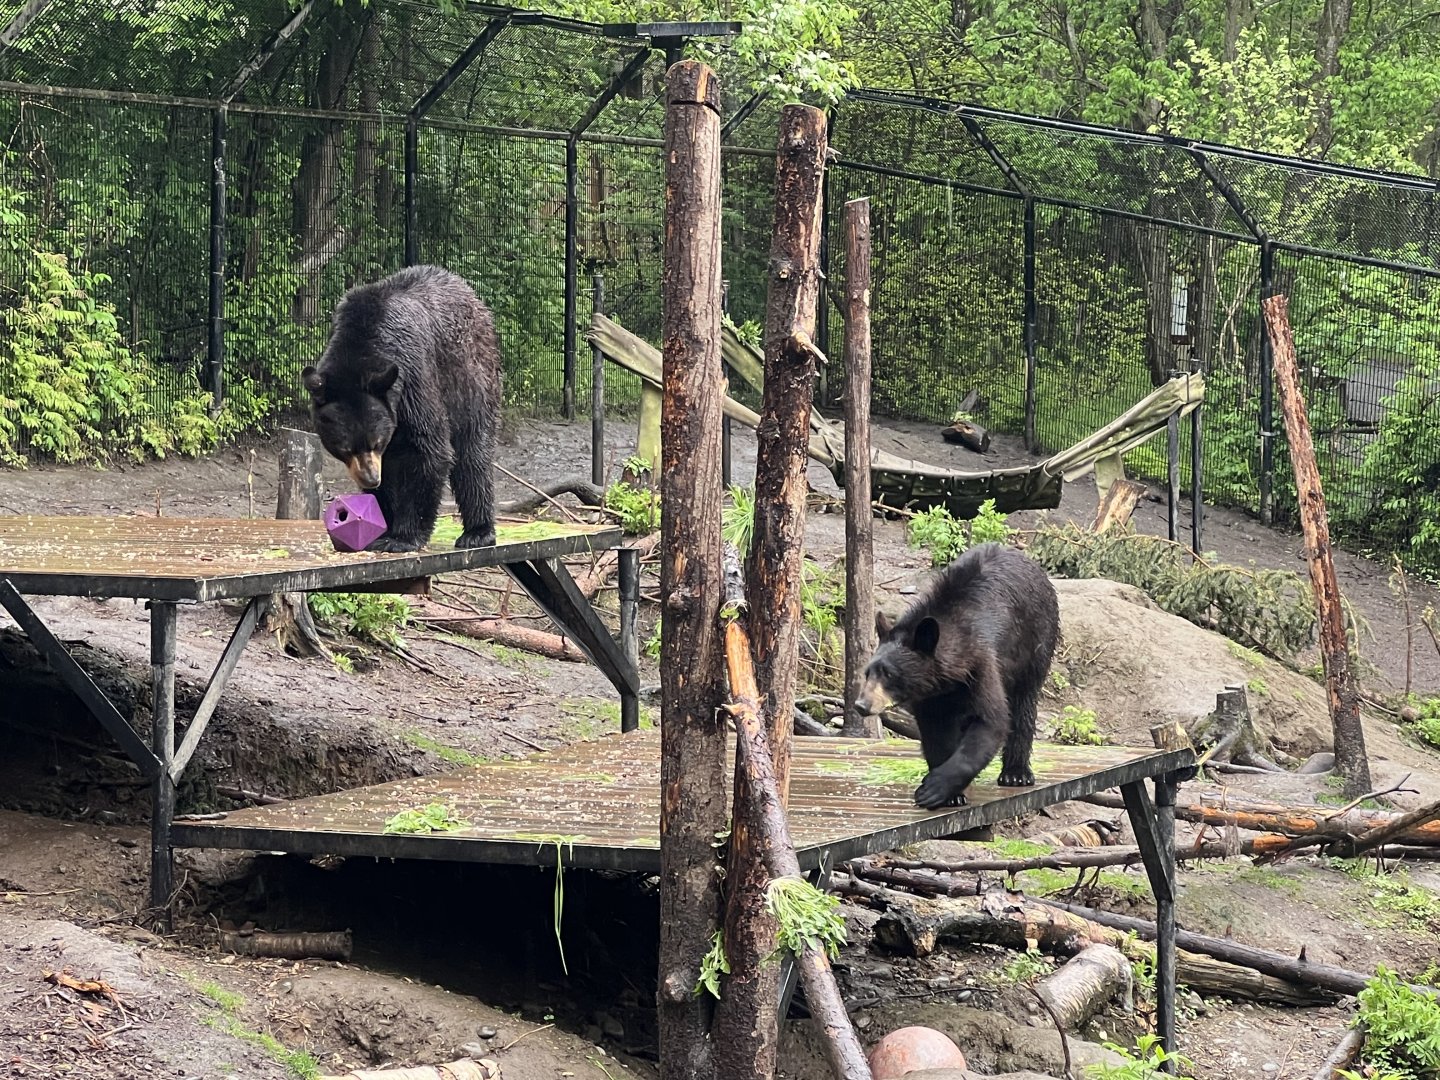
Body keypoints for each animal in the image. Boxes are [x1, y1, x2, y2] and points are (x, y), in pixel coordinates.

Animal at [301, 265, 502, 554]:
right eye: (344, 448)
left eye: (376, 442)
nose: (371, 479)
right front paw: (380, 522)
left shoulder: (413, 379)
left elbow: (428, 449)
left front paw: (402, 537)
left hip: (471, 376)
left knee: (473, 451)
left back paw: (478, 532)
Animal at [855, 542, 1060, 810]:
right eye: (868, 672)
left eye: (889, 673)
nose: (861, 704)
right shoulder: (931, 696)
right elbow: (935, 732)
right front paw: (950, 793)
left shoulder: (980, 663)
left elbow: (991, 720)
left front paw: (935, 788)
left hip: (1036, 641)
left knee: (1023, 703)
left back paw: (1016, 773)